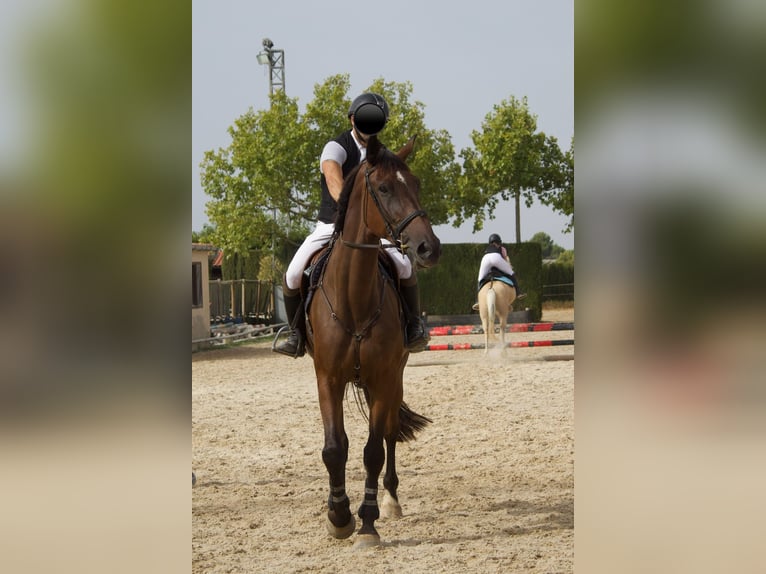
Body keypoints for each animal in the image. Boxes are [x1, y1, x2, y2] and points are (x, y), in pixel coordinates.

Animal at [302, 134, 441, 549]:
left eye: (417, 185)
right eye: (383, 188)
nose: (429, 248)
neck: (355, 298)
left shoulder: (383, 378)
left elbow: (373, 452)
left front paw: (366, 523)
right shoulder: (328, 378)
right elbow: (335, 449)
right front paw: (338, 517)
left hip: (395, 378)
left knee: (391, 432)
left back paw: (391, 500)